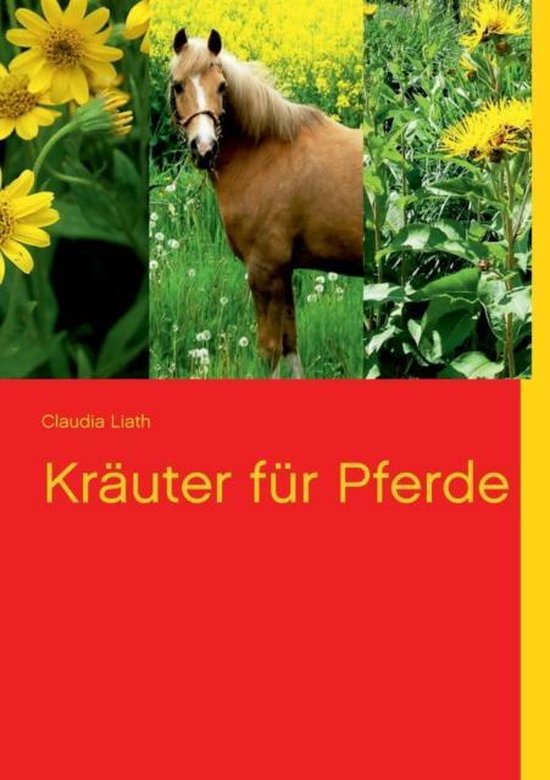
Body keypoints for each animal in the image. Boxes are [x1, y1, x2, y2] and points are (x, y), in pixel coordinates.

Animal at [170, 29, 363, 378]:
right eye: (178, 85)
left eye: (221, 86)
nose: (204, 148)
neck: (265, 154)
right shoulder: (283, 271)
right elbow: (290, 345)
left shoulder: (264, 270)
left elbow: (269, 351)